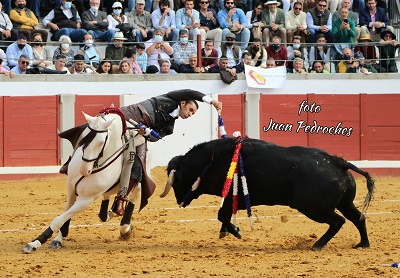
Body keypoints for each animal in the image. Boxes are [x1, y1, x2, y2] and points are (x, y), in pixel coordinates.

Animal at [21, 108, 145, 254]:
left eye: (101, 142)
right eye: (82, 139)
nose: (84, 170)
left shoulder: (86, 199)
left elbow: (59, 219)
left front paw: (34, 244)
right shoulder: (71, 189)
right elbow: (65, 215)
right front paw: (57, 239)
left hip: (137, 180)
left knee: (134, 194)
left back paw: (125, 227)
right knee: (106, 203)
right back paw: (110, 214)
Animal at [159, 138, 376, 251]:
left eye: (176, 181)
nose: (179, 201)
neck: (211, 160)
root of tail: (338, 162)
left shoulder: (230, 198)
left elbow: (222, 215)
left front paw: (236, 231)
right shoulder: (230, 199)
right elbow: (224, 216)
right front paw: (226, 231)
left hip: (312, 207)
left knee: (338, 221)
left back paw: (317, 245)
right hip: (344, 203)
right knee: (358, 218)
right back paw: (363, 244)